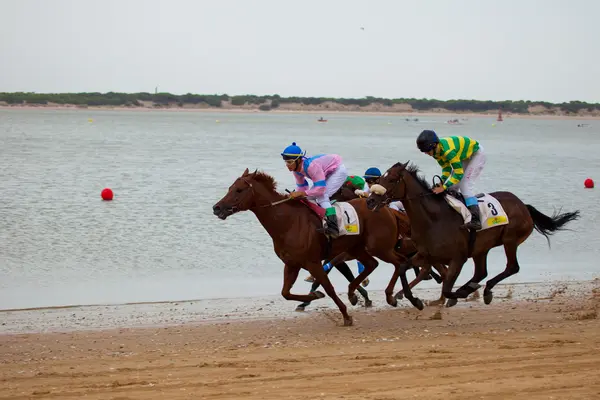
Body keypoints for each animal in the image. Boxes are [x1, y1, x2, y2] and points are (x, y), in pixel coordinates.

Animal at [213, 169, 424, 324]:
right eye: (230, 187)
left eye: (239, 190)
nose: (217, 207)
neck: (288, 222)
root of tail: (386, 208)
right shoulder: (292, 264)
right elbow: (286, 293)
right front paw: (314, 295)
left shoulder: (312, 262)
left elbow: (329, 288)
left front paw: (345, 315)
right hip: (358, 248)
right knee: (373, 264)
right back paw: (356, 293)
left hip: (379, 247)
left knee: (400, 262)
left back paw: (397, 297)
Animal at [366, 161, 580, 308]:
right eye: (380, 178)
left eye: (391, 180)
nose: (370, 201)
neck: (433, 219)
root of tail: (523, 205)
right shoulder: (426, 254)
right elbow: (403, 267)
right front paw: (414, 300)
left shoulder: (458, 258)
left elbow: (447, 288)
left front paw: (457, 295)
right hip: (481, 249)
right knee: (481, 272)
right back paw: (473, 287)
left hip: (510, 240)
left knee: (512, 267)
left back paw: (483, 290)